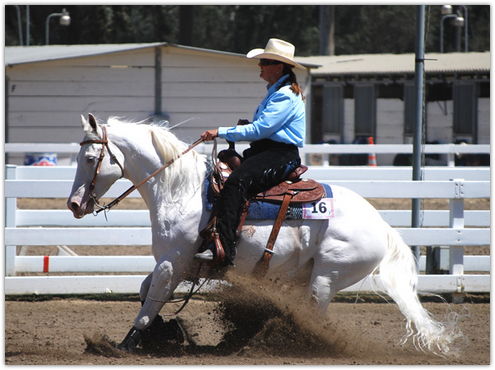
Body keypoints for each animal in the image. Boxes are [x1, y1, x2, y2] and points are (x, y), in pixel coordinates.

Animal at [70, 113, 464, 356]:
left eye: (90, 158)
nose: (74, 204)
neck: (181, 191)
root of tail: (381, 226)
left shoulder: (173, 262)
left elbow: (150, 303)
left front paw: (126, 345)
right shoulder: (176, 264)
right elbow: (144, 292)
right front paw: (167, 333)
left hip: (326, 277)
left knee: (314, 315)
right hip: (309, 276)